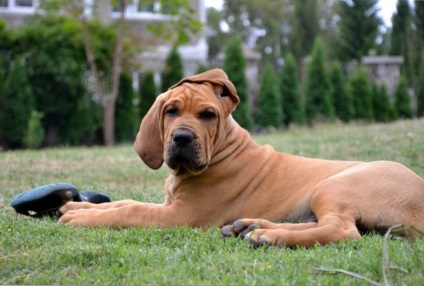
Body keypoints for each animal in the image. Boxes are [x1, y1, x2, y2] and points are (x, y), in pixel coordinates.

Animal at [59, 68, 424, 247]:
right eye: (171, 111)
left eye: (207, 115)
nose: (182, 137)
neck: (223, 150)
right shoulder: (167, 205)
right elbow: (123, 202)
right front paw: (78, 206)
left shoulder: (179, 215)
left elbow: (131, 210)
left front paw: (81, 218)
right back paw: (250, 227)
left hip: (334, 186)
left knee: (342, 231)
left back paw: (270, 237)